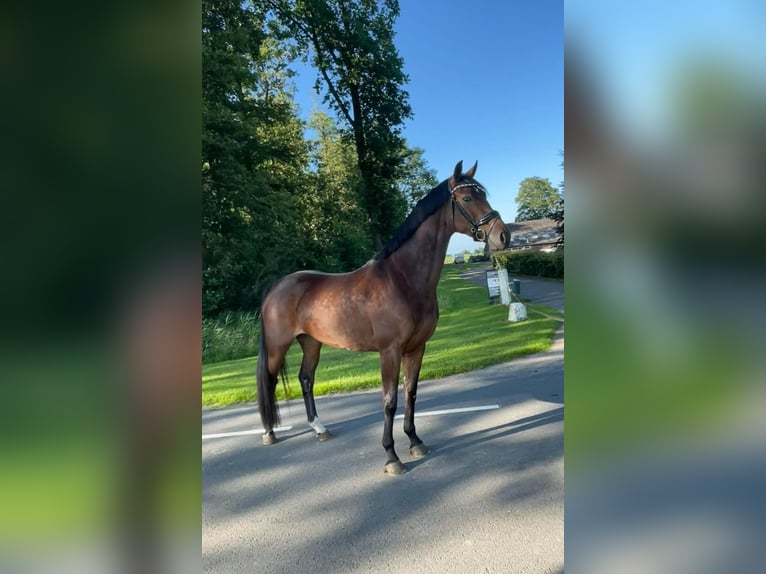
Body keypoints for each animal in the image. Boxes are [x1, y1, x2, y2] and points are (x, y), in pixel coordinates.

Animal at [258, 161, 510, 476]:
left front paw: (415, 441)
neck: (402, 279)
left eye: (482, 194)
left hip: (311, 343)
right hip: (278, 347)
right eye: (466, 198)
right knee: (269, 381)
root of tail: (276, 287)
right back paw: (269, 433)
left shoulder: (416, 348)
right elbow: (390, 401)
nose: (503, 236)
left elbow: (410, 393)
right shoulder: (389, 351)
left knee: (306, 378)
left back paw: (319, 428)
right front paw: (392, 457)